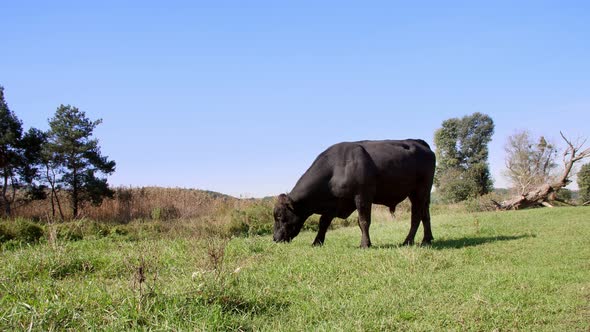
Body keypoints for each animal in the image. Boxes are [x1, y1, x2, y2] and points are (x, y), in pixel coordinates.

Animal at [276, 139, 438, 248]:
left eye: (280, 217)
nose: (275, 239)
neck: (336, 168)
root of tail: (419, 142)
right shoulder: (334, 203)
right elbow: (323, 223)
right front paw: (317, 242)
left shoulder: (362, 196)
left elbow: (363, 221)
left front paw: (365, 244)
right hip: (424, 195)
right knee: (425, 215)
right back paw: (426, 239)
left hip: (419, 192)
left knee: (416, 216)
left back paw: (408, 241)